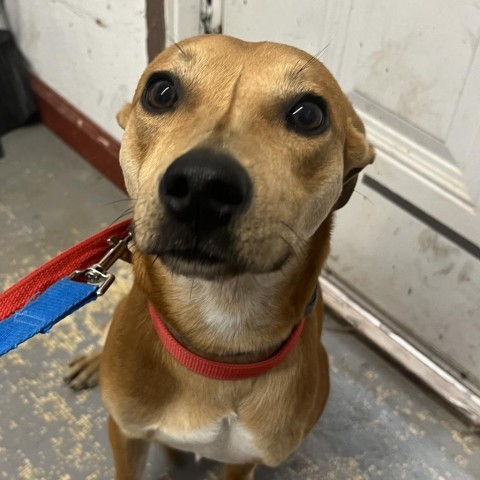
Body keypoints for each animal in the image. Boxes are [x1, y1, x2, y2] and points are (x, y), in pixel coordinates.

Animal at [67, 34, 376, 480]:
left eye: (308, 115)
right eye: (160, 92)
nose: (201, 184)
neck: (217, 342)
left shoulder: (244, 459)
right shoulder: (126, 434)